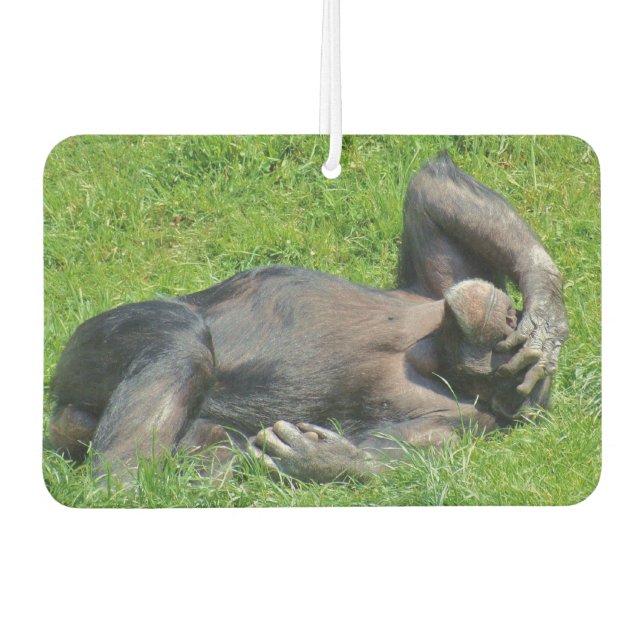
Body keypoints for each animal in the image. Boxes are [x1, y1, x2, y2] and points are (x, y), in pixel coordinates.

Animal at [48, 153, 569, 483]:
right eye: (506, 333)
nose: (505, 317)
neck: (429, 354)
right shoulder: (441, 288)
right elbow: (432, 191)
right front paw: (546, 311)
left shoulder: (457, 426)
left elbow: (402, 457)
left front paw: (323, 460)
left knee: (184, 358)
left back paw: (120, 487)